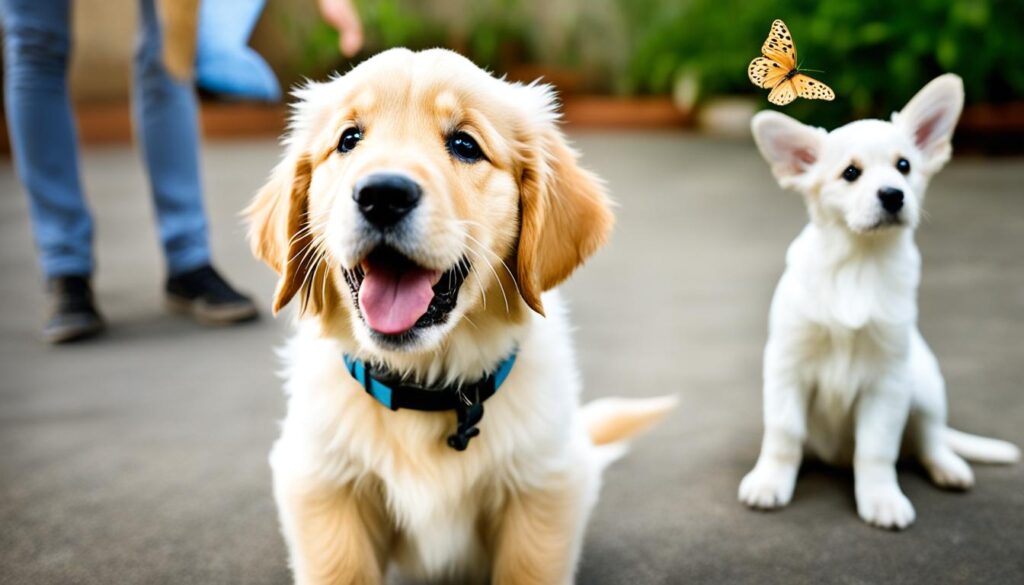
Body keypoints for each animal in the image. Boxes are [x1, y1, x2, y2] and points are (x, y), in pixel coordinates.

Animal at [245, 50, 671, 585]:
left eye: (465, 144)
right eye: (349, 139)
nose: (383, 194)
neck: (424, 387)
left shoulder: (544, 488)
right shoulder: (323, 486)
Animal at [741, 74, 1019, 532]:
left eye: (904, 166)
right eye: (850, 173)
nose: (893, 195)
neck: (859, 263)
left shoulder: (888, 381)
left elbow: (876, 450)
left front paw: (882, 499)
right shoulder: (787, 365)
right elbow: (783, 434)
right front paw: (770, 482)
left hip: (925, 383)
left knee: (930, 438)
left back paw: (949, 467)